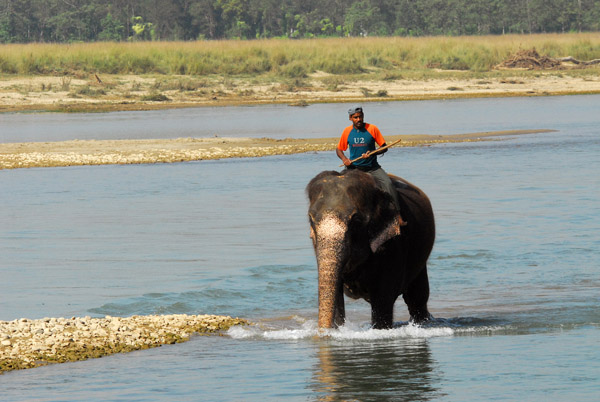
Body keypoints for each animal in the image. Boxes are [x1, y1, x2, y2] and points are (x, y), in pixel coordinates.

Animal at [308, 168, 434, 328]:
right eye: (311, 219)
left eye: (356, 220)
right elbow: (336, 296)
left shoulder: (394, 245)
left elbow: (382, 300)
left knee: (417, 297)